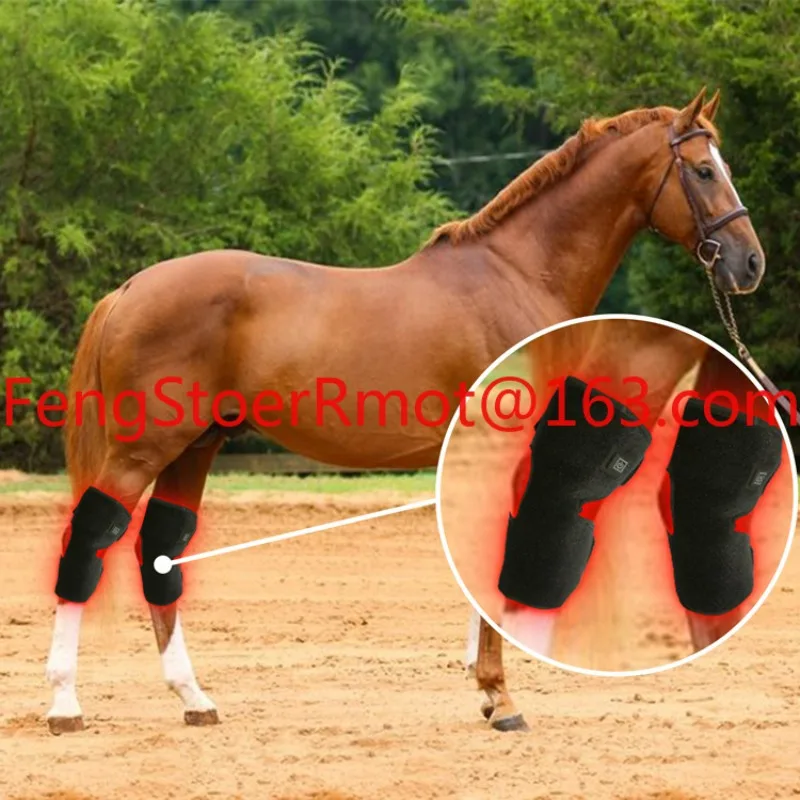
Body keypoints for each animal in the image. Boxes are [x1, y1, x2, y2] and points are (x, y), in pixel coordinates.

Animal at [45, 87, 766, 734]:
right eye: (703, 170)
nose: (750, 262)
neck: (517, 275)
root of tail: (128, 290)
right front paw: (502, 698)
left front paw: (486, 690)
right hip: (141, 451)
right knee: (91, 540)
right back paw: (64, 705)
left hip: (193, 450)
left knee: (159, 550)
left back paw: (194, 698)